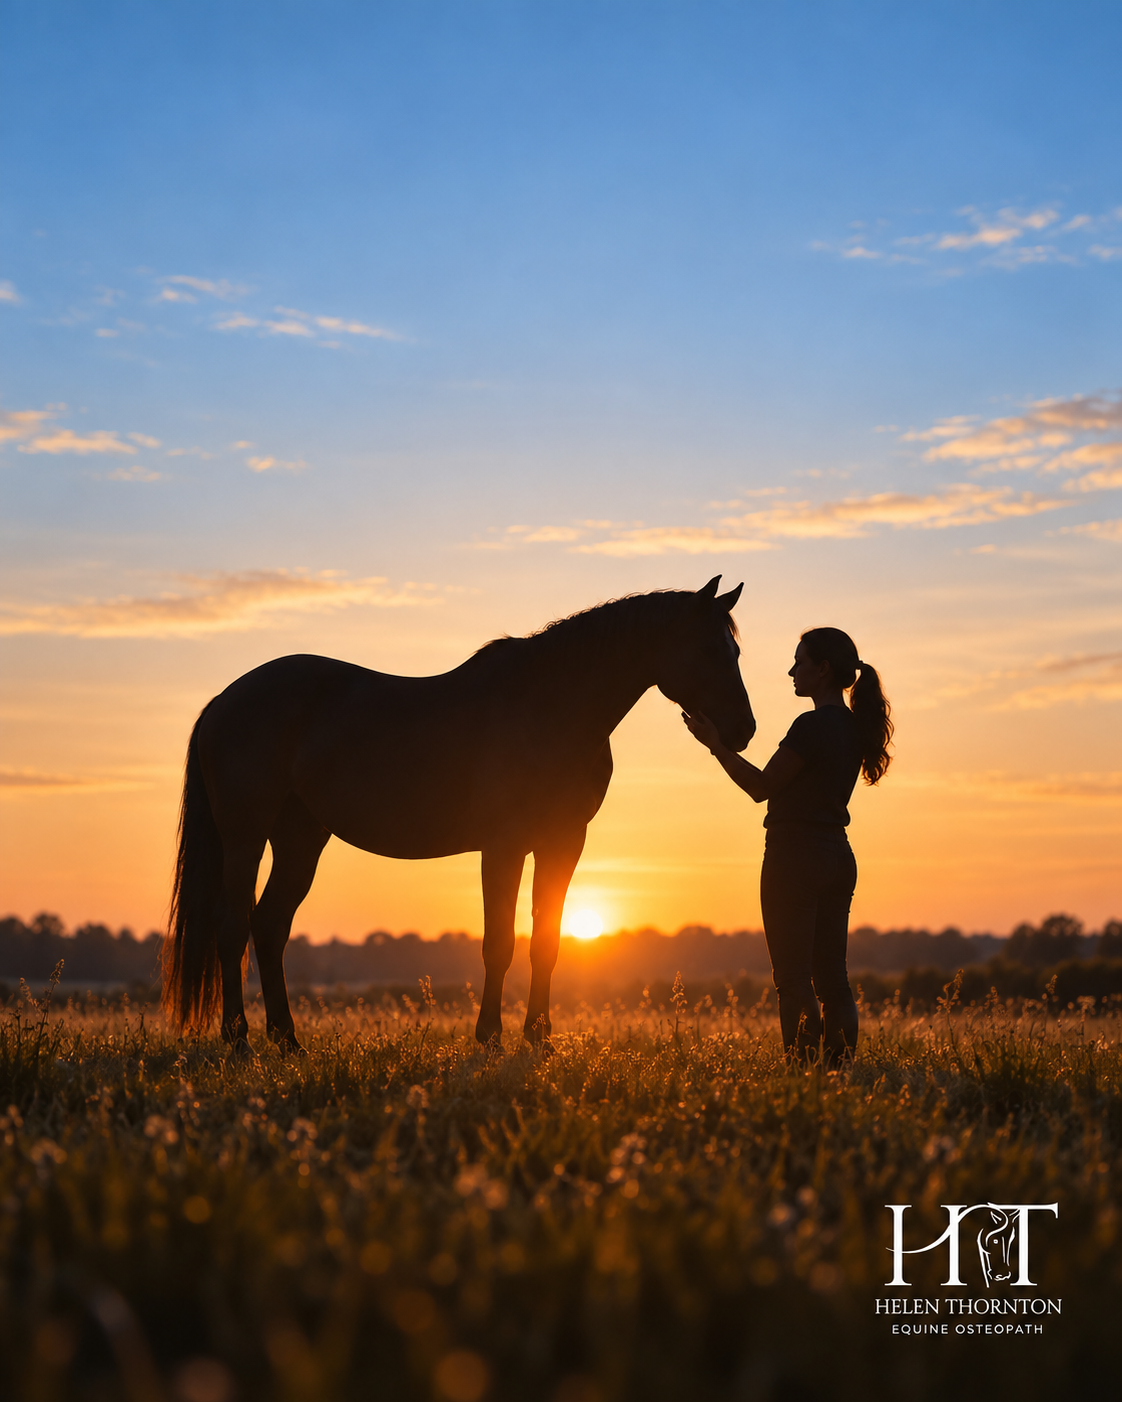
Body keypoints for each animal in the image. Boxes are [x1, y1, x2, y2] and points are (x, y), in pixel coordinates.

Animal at [162, 575, 754, 1051]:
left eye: (735, 650)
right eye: (708, 647)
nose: (743, 731)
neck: (552, 706)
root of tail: (223, 701)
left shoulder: (563, 843)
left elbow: (547, 942)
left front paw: (539, 1039)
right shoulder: (504, 846)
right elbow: (499, 945)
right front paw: (489, 1037)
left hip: (301, 838)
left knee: (269, 927)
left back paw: (288, 1041)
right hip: (245, 838)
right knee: (233, 929)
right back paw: (239, 1041)